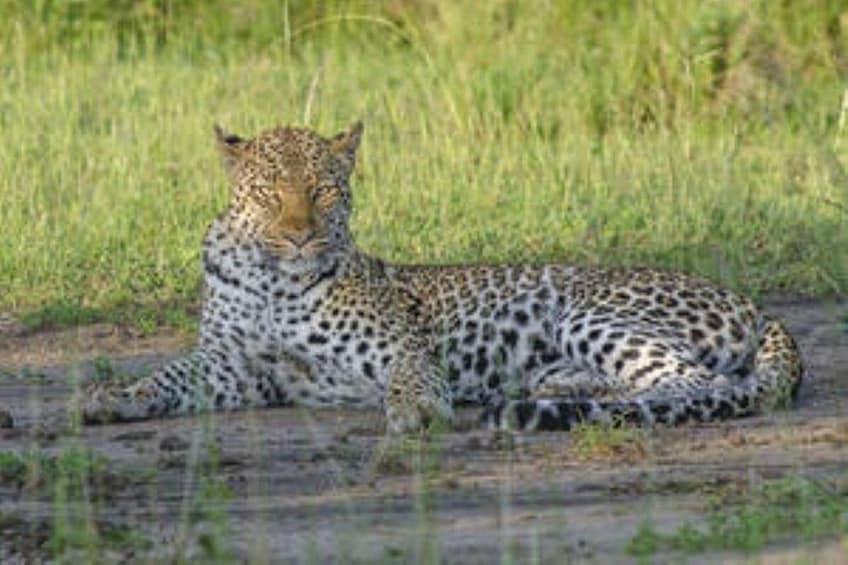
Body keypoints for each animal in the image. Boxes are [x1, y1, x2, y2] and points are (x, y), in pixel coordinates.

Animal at [83, 121, 804, 434]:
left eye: (321, 189)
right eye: (268, 192)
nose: (299, 234)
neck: (270, 279)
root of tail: (760, 308)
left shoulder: (401, 346)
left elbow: (411, 375)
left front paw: (417, 410)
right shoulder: (238, 367)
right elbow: (169, 376)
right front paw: (112, 396)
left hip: (590, 309)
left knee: (698, 384)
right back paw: (548, 388)